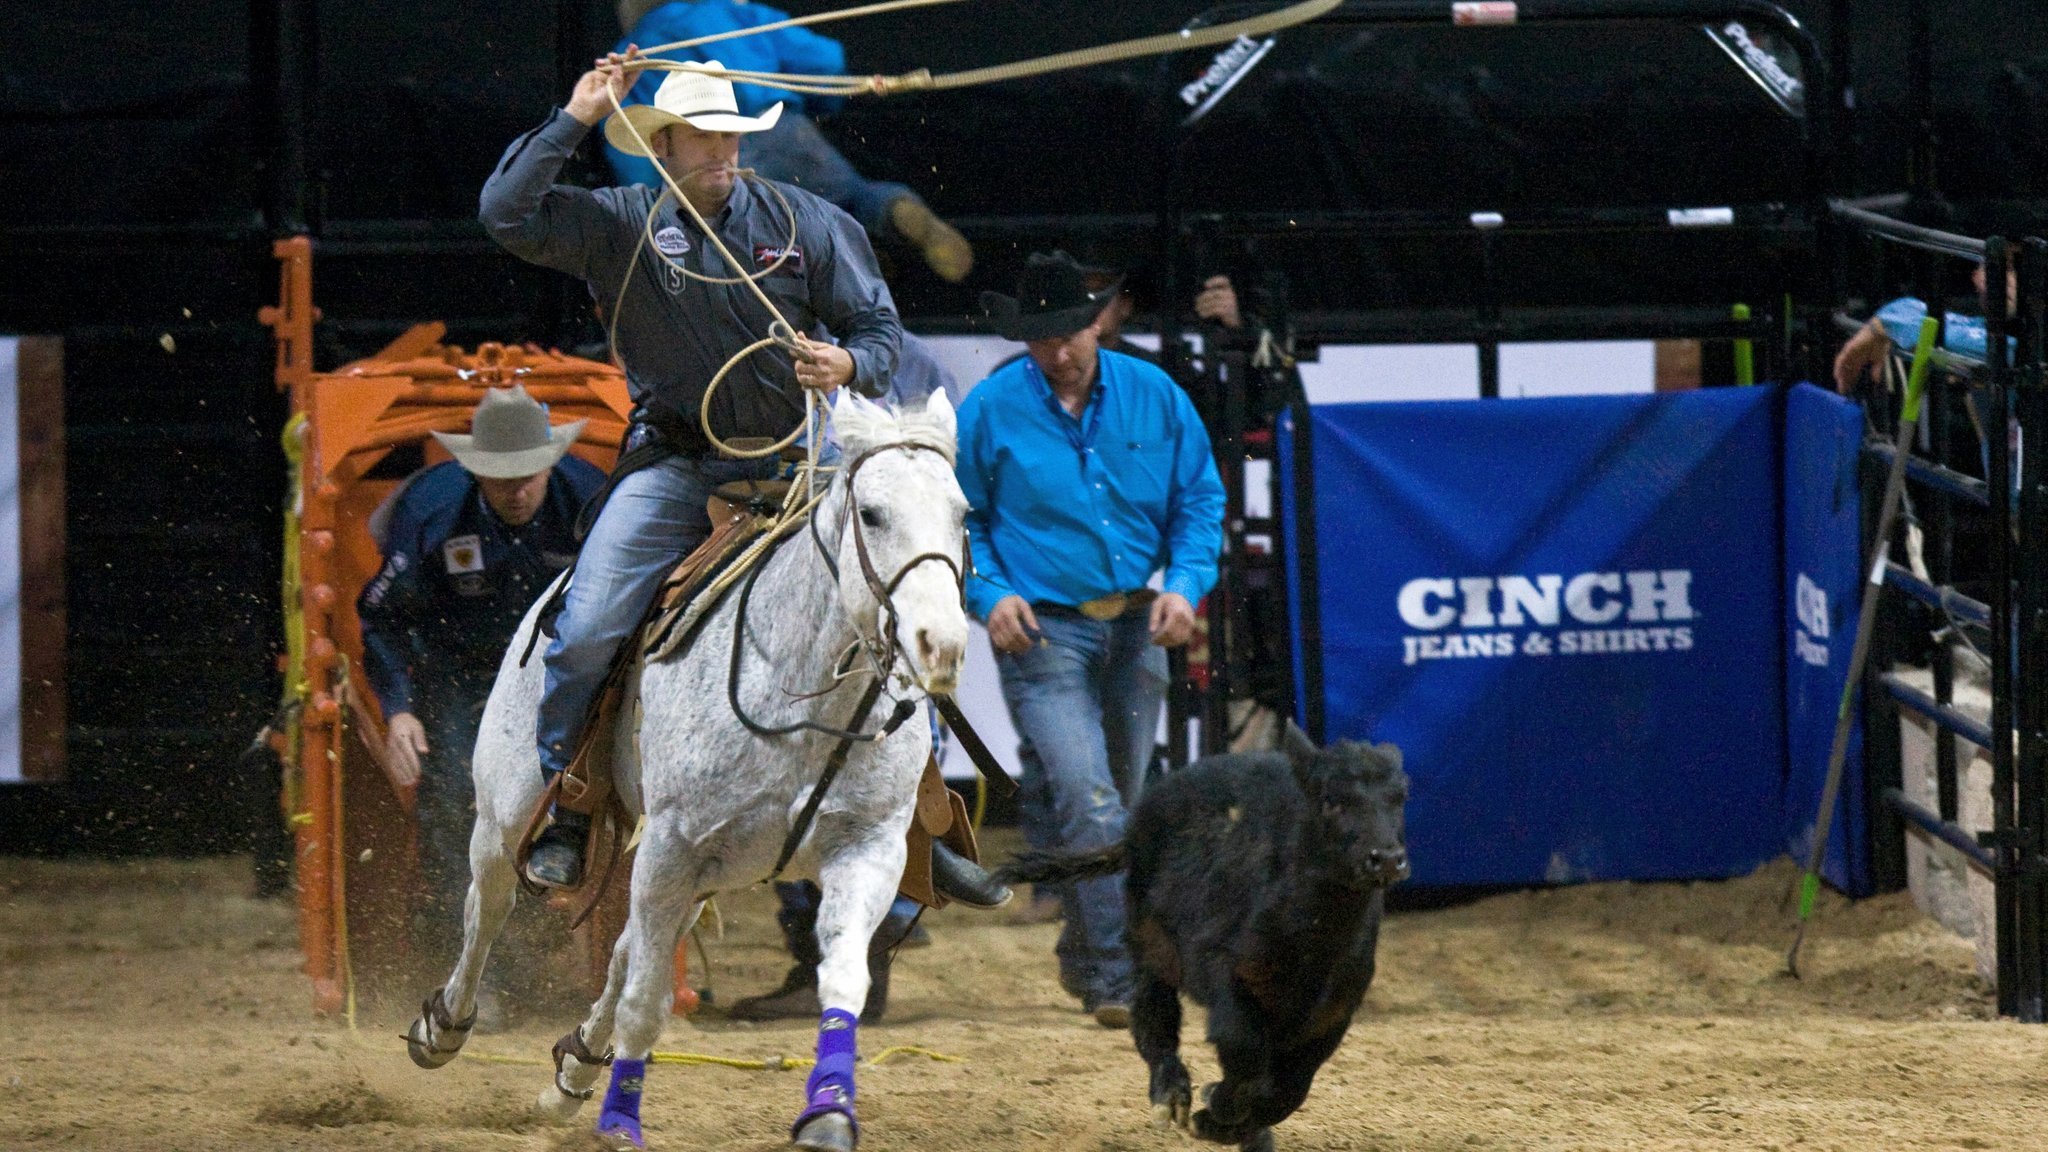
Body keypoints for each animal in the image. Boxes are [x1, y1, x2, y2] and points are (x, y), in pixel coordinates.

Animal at [409, 389, 974, 1139]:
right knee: (487, 907)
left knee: (624, 945)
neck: (797, 695)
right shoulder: (673, 846)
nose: (941, 643)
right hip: (509, 815)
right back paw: (444, 1027)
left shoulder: (866, 850)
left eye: (962, 514)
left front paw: (828, 1113)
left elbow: (842, 981)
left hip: (702, 874)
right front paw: (621, 1124)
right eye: (874, 514)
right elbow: (646, 1002)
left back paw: (576, 1068)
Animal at [1003, 721, 1409, 1139]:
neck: (1313, 938)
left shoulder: (1331, 1016)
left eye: (1398, 799)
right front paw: (1214, 1108)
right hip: (1151, 949)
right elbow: (1243, 1052)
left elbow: (1288, 1092)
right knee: (1154, 1020)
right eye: (1332, 801)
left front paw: (1223, 1118)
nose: (1386, 859)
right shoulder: (1223, 971)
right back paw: (1170, 1095)